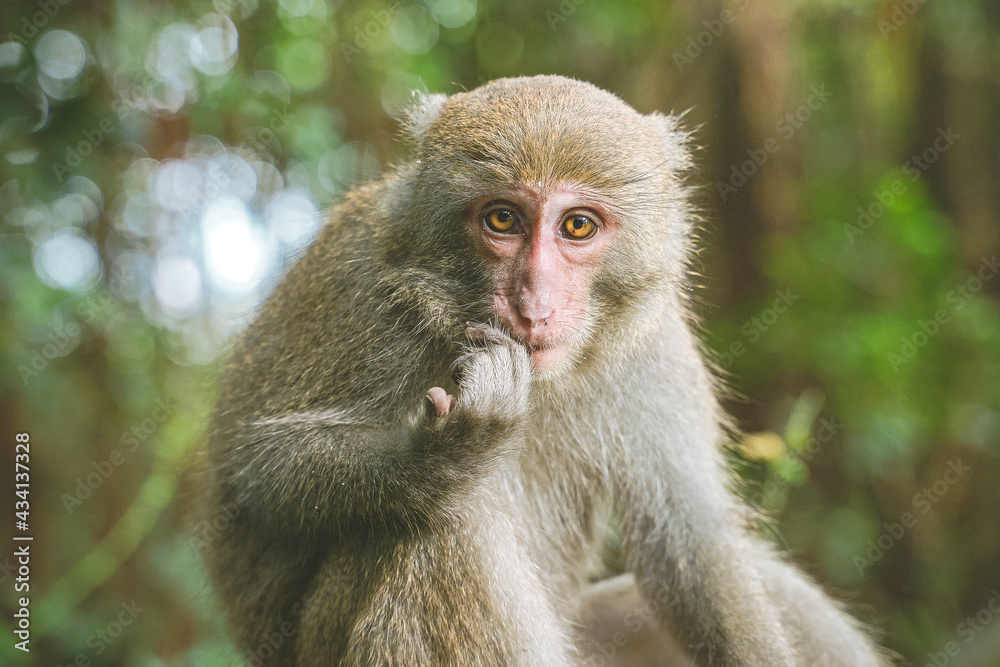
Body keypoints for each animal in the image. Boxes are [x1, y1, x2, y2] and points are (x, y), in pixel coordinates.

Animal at [197, 75, 892, 664]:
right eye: (502, 218)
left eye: (577, 226)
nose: (533, 304)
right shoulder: (365, 298)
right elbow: (259, 477)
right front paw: (446, 454)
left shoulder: (654, 346)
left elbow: (690, 541)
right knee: (440, 529)